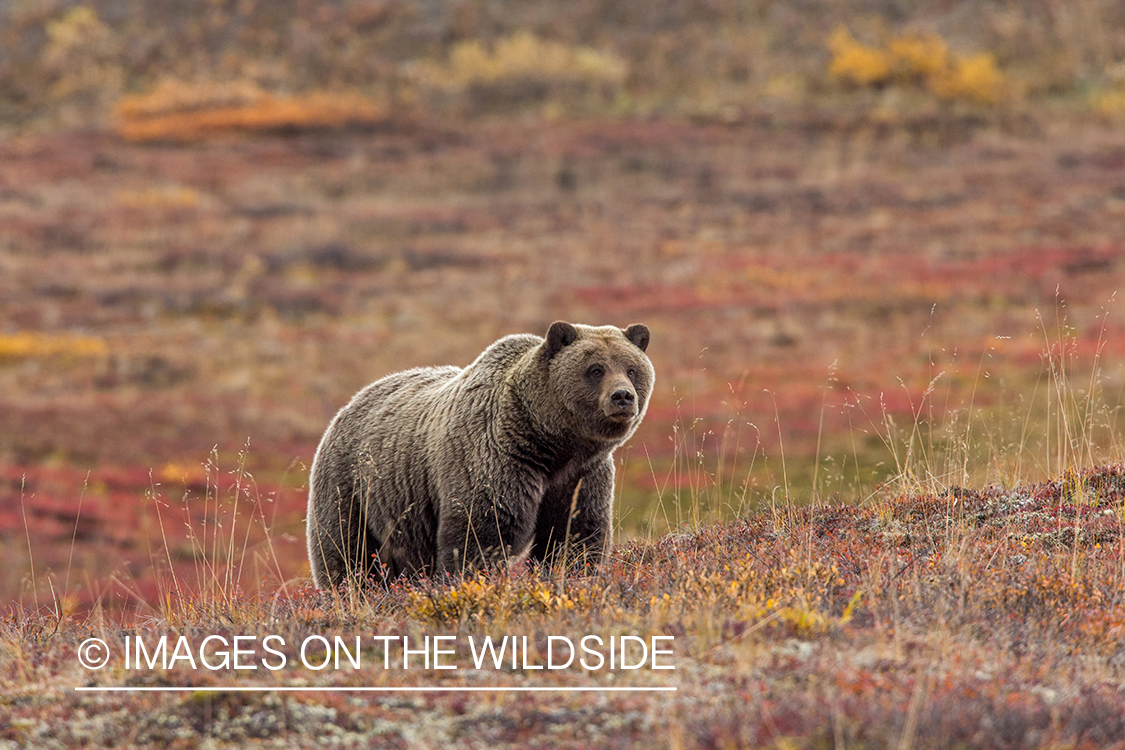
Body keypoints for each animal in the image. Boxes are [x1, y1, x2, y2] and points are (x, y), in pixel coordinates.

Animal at [306, 319, 652, 589]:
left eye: (632, 369)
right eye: (595, 369)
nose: (622, 397)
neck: (550, 444)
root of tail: (349, 404)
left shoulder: (581, 474)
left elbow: (574, 534)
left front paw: (570, 574)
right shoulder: (495, 461)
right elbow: (480, 536)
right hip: (354, 486)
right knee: (346, 552)